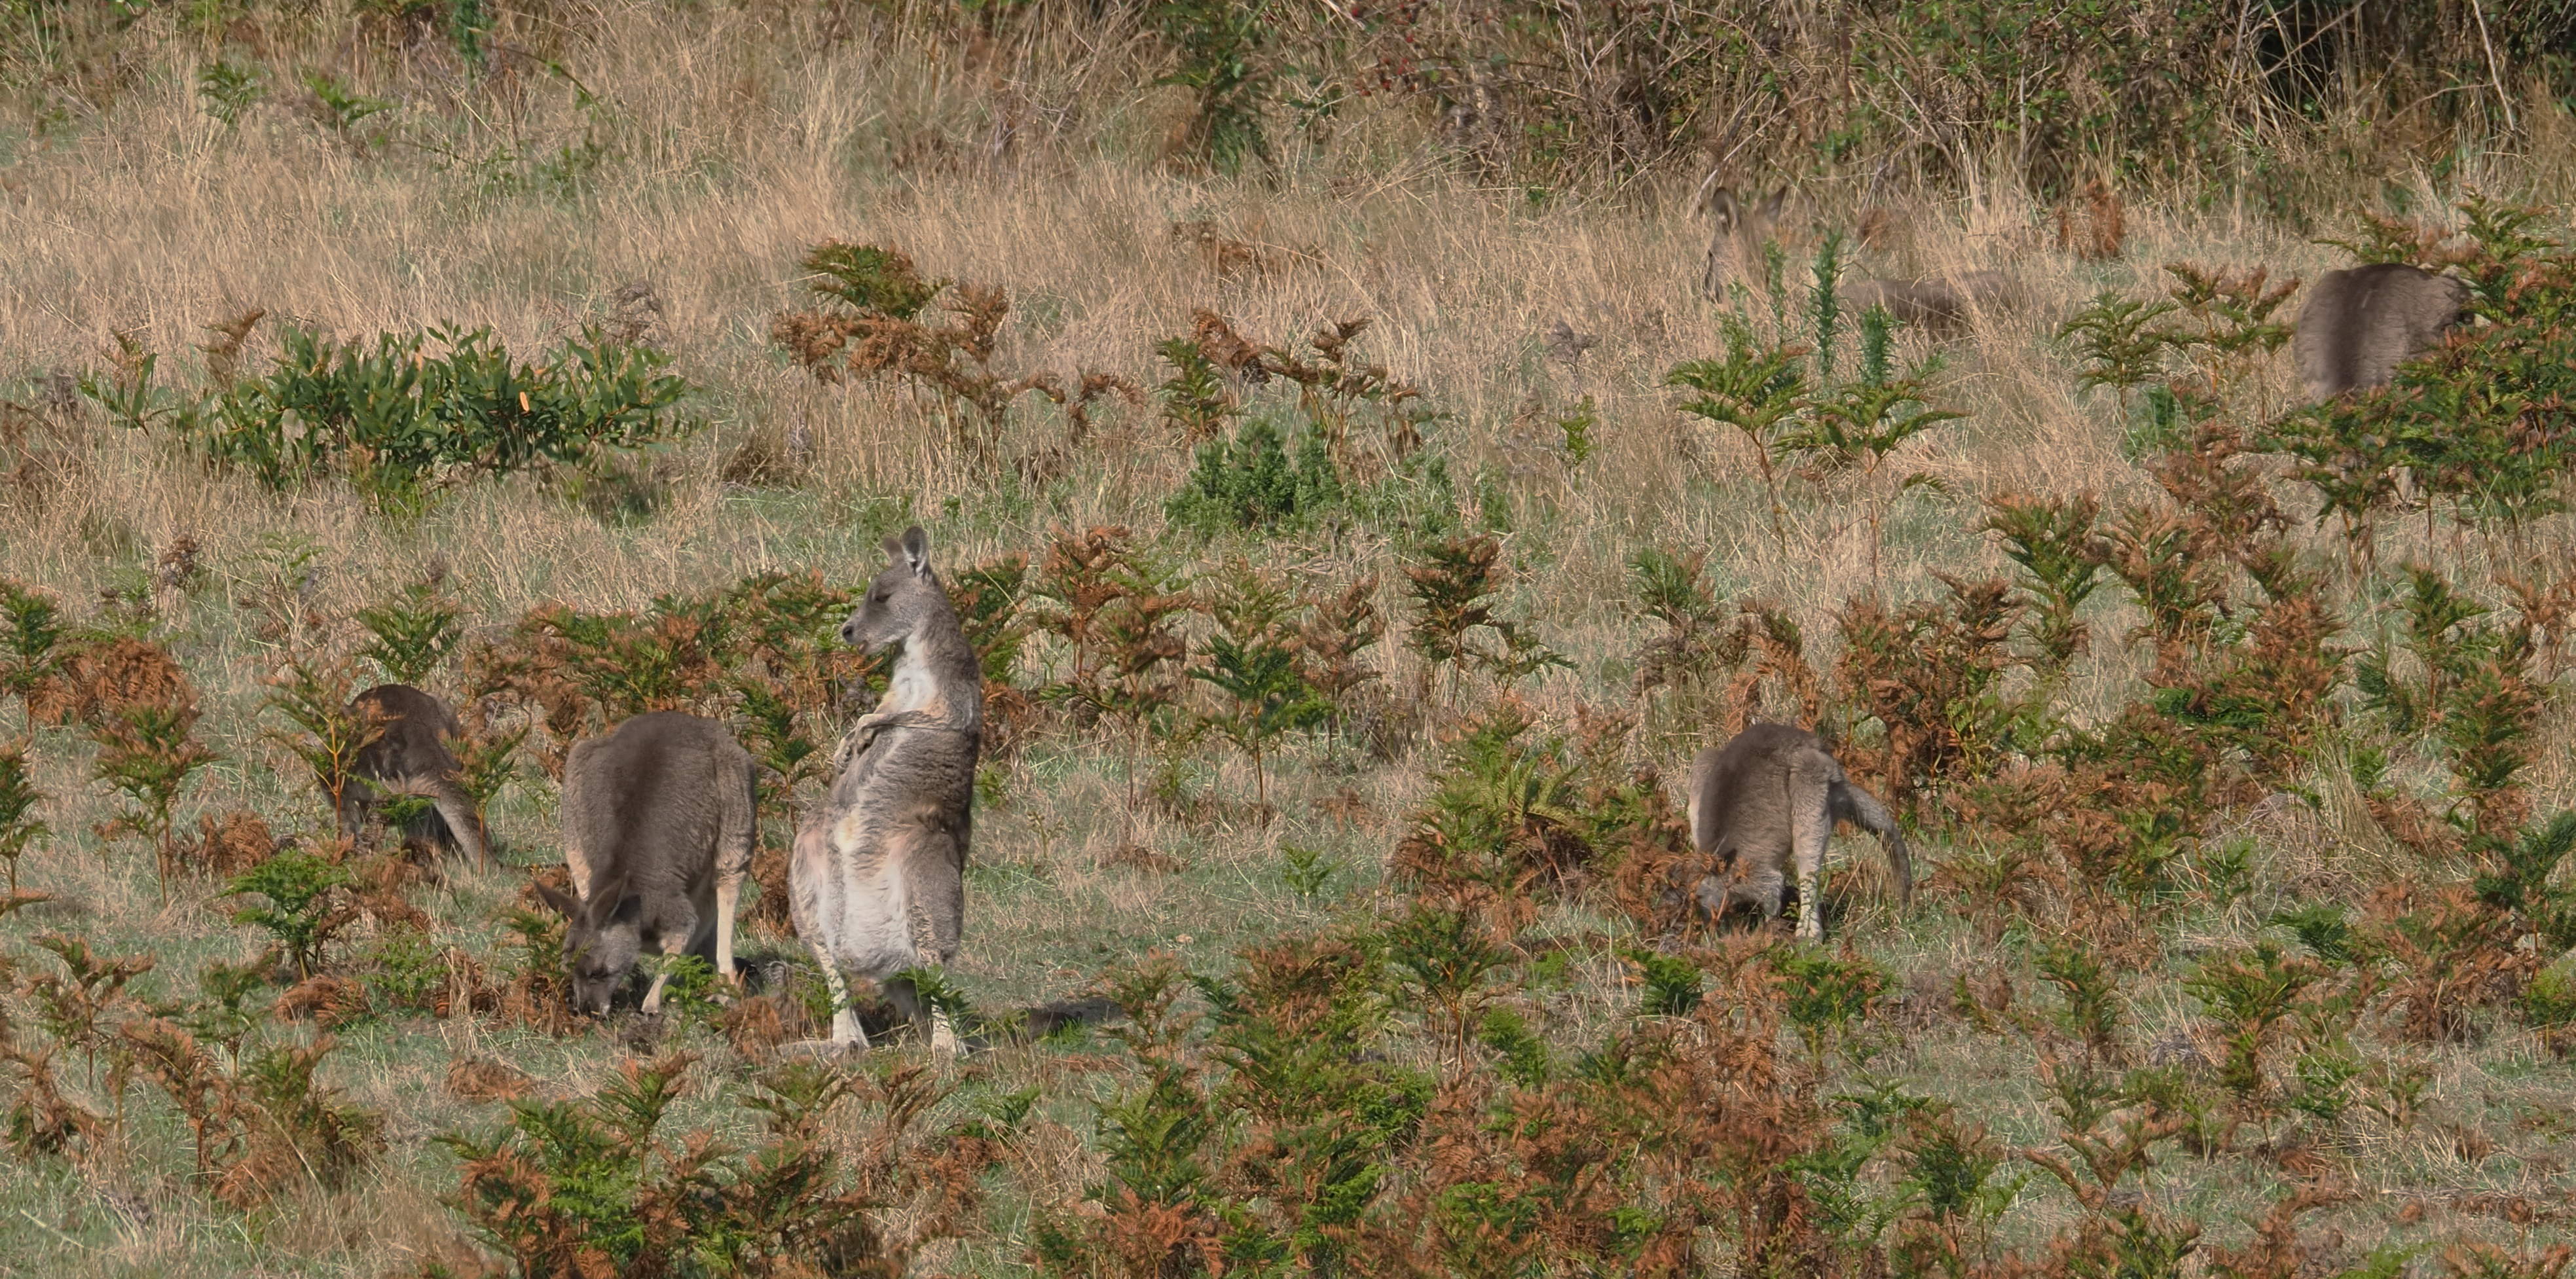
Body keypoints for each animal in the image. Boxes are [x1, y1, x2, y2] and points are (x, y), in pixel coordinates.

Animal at [532, 711, 758, 1018]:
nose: (587, 1011)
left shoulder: (671, 905)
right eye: (568, 968)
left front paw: (651, 1004)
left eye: (599, 971)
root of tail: (680, 717)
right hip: (575, 795)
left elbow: (680, 941)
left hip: (736, 802)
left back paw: (725, 991)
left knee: (727, 883)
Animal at [792, 526, 983, 1054]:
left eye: (881, 597)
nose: (846, 632)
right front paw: (844, 753)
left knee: (936, 970)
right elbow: (875, 712)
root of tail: (883, 964)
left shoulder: (949, 704)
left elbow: (892, 718)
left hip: (928, 875)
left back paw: (946, 1049)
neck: (915, 653)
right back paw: (841, 1045)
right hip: (804, 875)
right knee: (835, 973)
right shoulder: (899, 690)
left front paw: (857, 741)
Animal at [1685, 722, 1912, 942]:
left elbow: (1772, 895)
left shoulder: (1757, 879)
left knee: (1808, 860)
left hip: (1809, 780)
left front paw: (1766, 932)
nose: (1705, 933)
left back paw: (1808, 935)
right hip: (1703, 763)